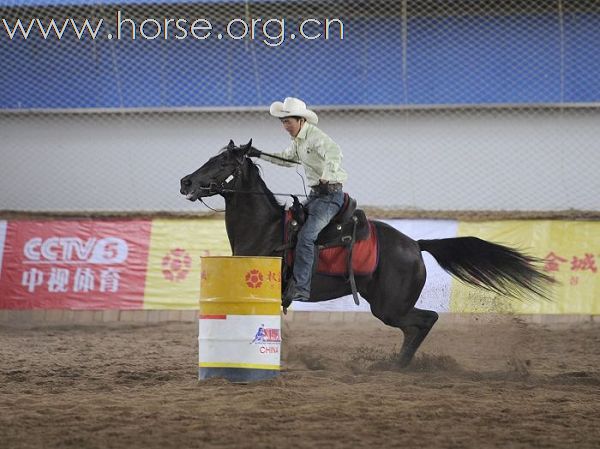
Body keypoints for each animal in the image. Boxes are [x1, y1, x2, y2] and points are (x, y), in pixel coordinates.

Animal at [179, 140, 552, 368]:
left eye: (222, 161)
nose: (186, 182)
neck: (265, 228)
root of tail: (415, 245)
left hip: (389, 307)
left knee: (425, 320)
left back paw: (398, 367)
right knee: (418, 325)